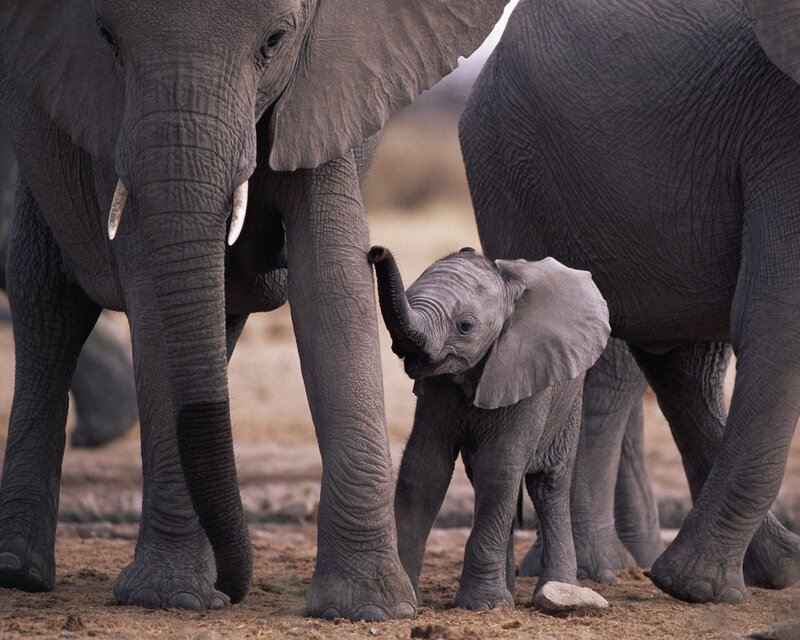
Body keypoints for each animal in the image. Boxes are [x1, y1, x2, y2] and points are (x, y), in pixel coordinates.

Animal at [369, 246, 611, 612]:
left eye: (465, 326)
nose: (375, 251)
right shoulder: (438, 387)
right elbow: (423, 470)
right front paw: (410, 597)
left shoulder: (525, 368)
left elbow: (499, 468)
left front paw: (483, 606)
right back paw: (508, 592)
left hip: (569, 399)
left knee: (547, 484)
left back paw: (557, 589)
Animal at [459, 0, 800, 604]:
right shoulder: (781, 126)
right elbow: (779, 319)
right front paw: (695, 590)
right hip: (510, 164)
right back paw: (624, 579)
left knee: (687, 365)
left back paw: (772, 570)